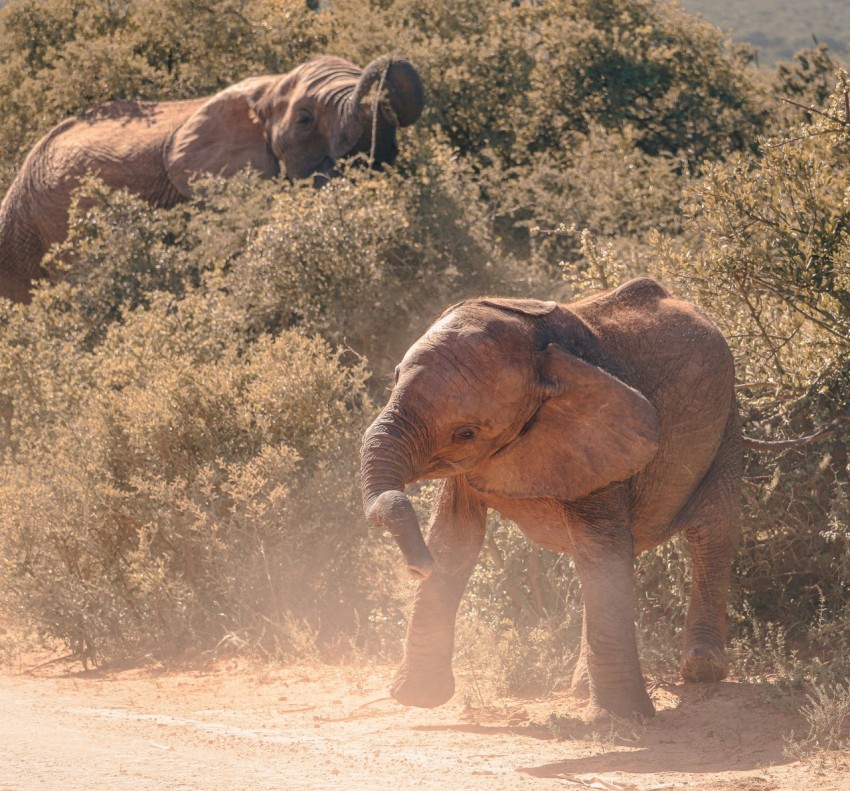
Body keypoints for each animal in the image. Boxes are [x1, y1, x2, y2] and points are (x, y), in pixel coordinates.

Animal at [360, 278, 744, 724]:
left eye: (466, 433)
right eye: (394, 379)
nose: (416, 567)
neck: (541, 355)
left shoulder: (600, 437)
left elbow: (600, 548)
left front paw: (622, 721)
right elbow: (455, 539)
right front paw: (417, 698)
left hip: (727, 420)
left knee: (710, 530)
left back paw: (701, 670)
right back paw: (581, 687)